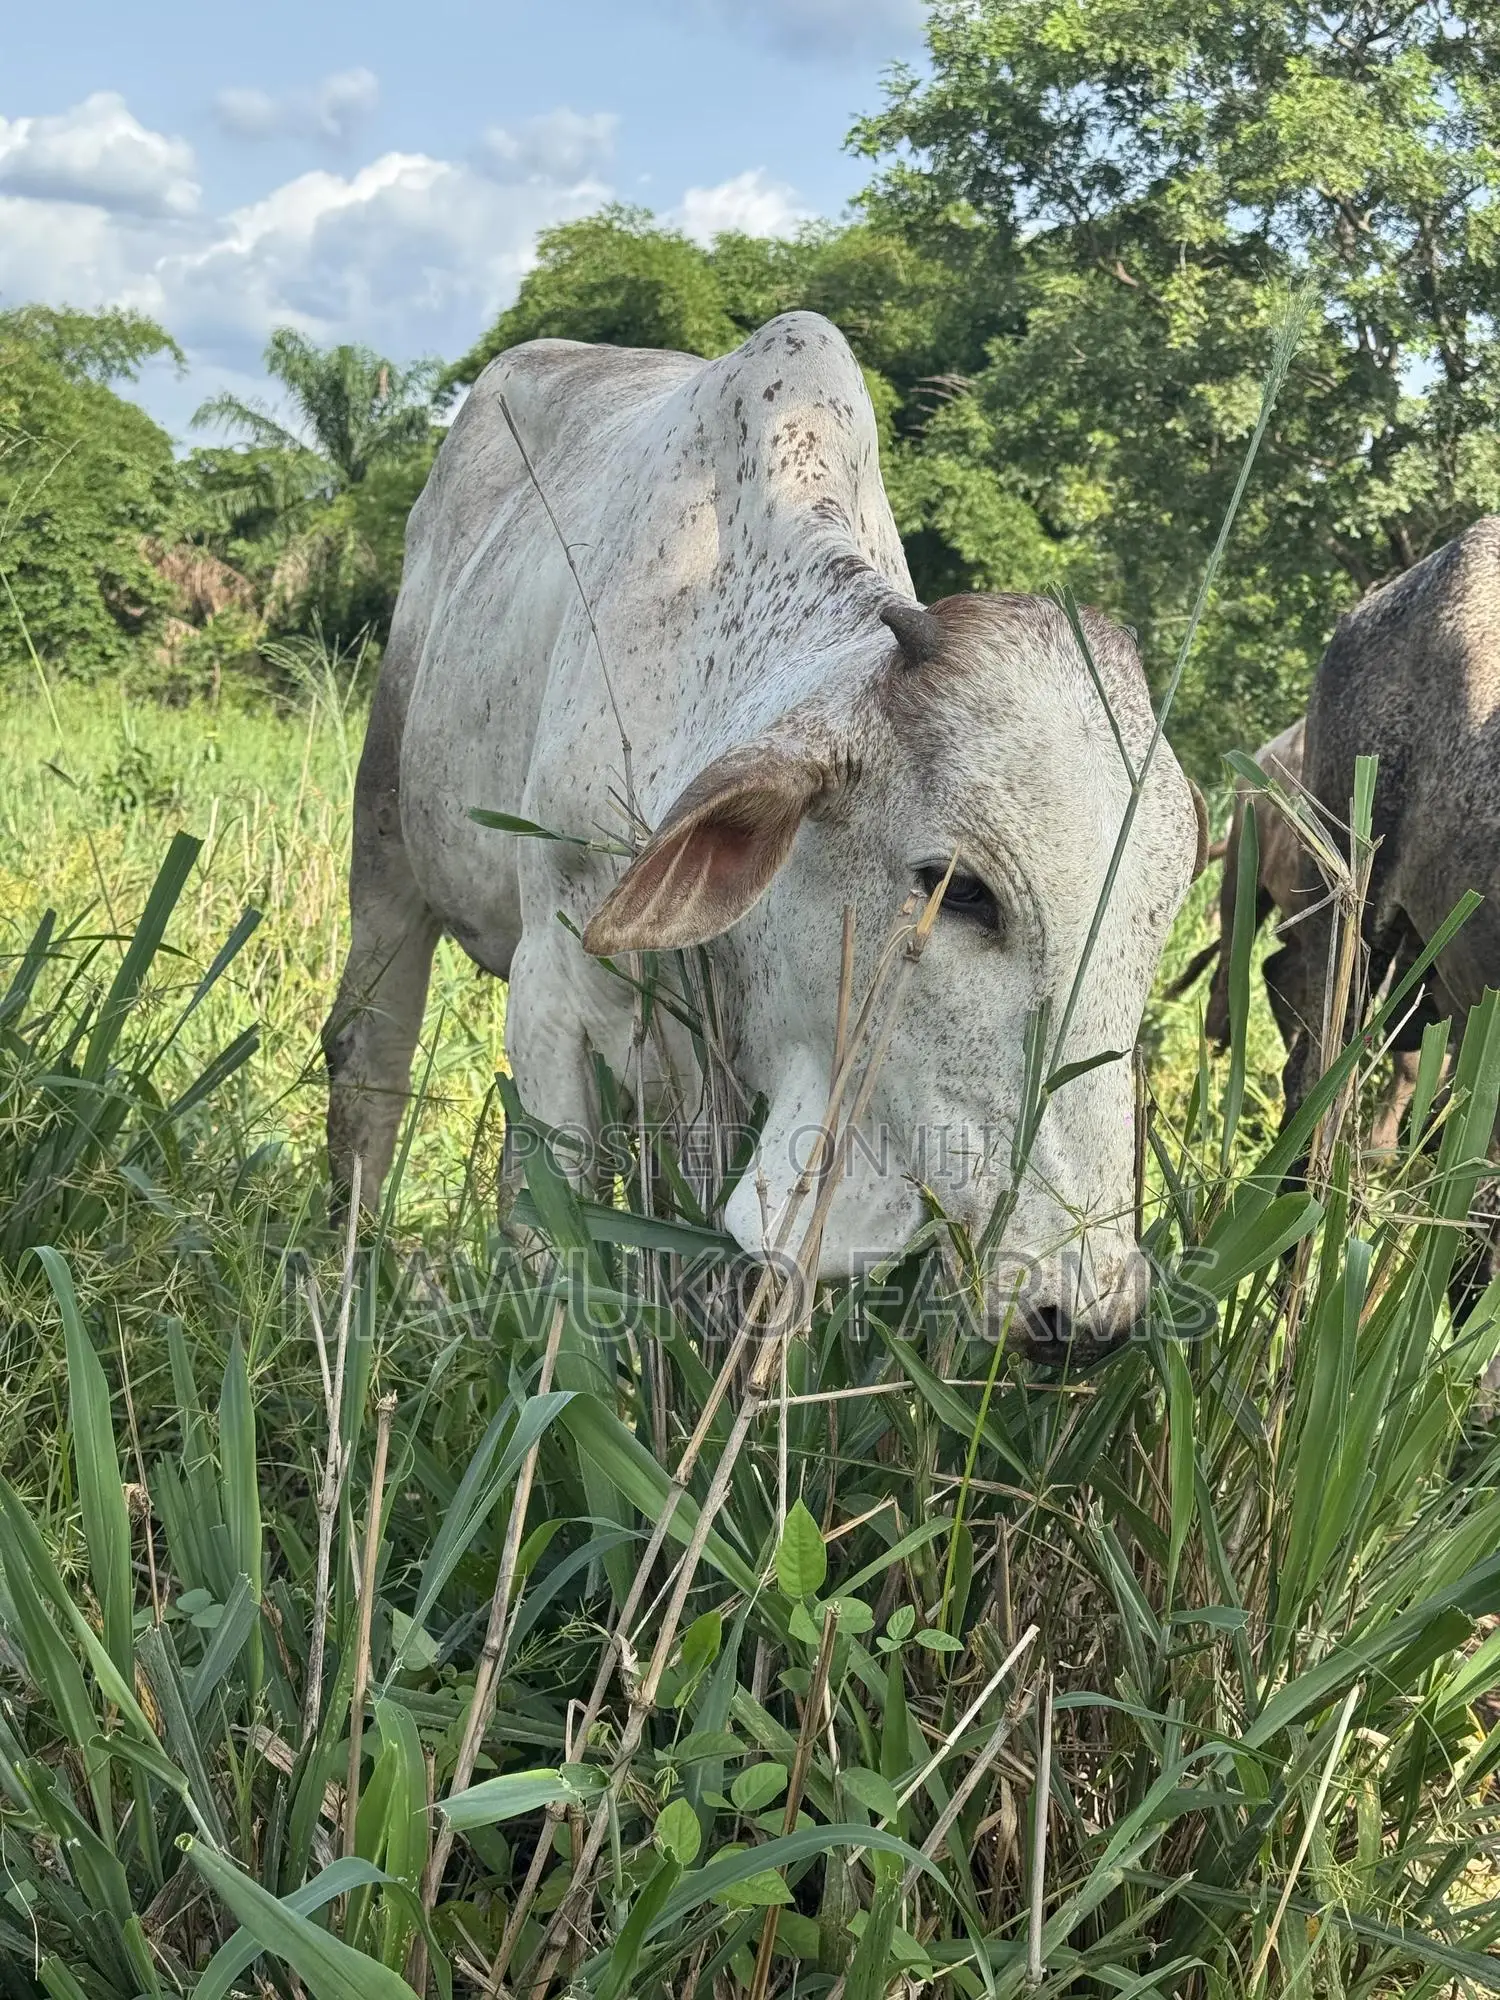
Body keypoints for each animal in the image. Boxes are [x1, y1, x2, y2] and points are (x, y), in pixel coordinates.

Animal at [322, 312, 1204, 1348]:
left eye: (1157, 920)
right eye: (961, 888)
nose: (1088, 1308)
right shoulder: (552, 985)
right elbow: (551, 1225)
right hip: (386, 835)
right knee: (370, 1049)